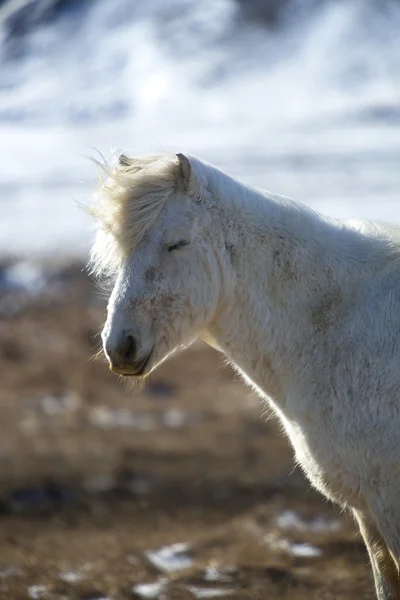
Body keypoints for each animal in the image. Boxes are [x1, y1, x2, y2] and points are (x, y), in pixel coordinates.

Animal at [91, 151, 400, 600]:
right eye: (121, 249)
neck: (339, 324)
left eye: (178, 242)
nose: (120, 346)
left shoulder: (389, 502)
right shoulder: (368, 511)